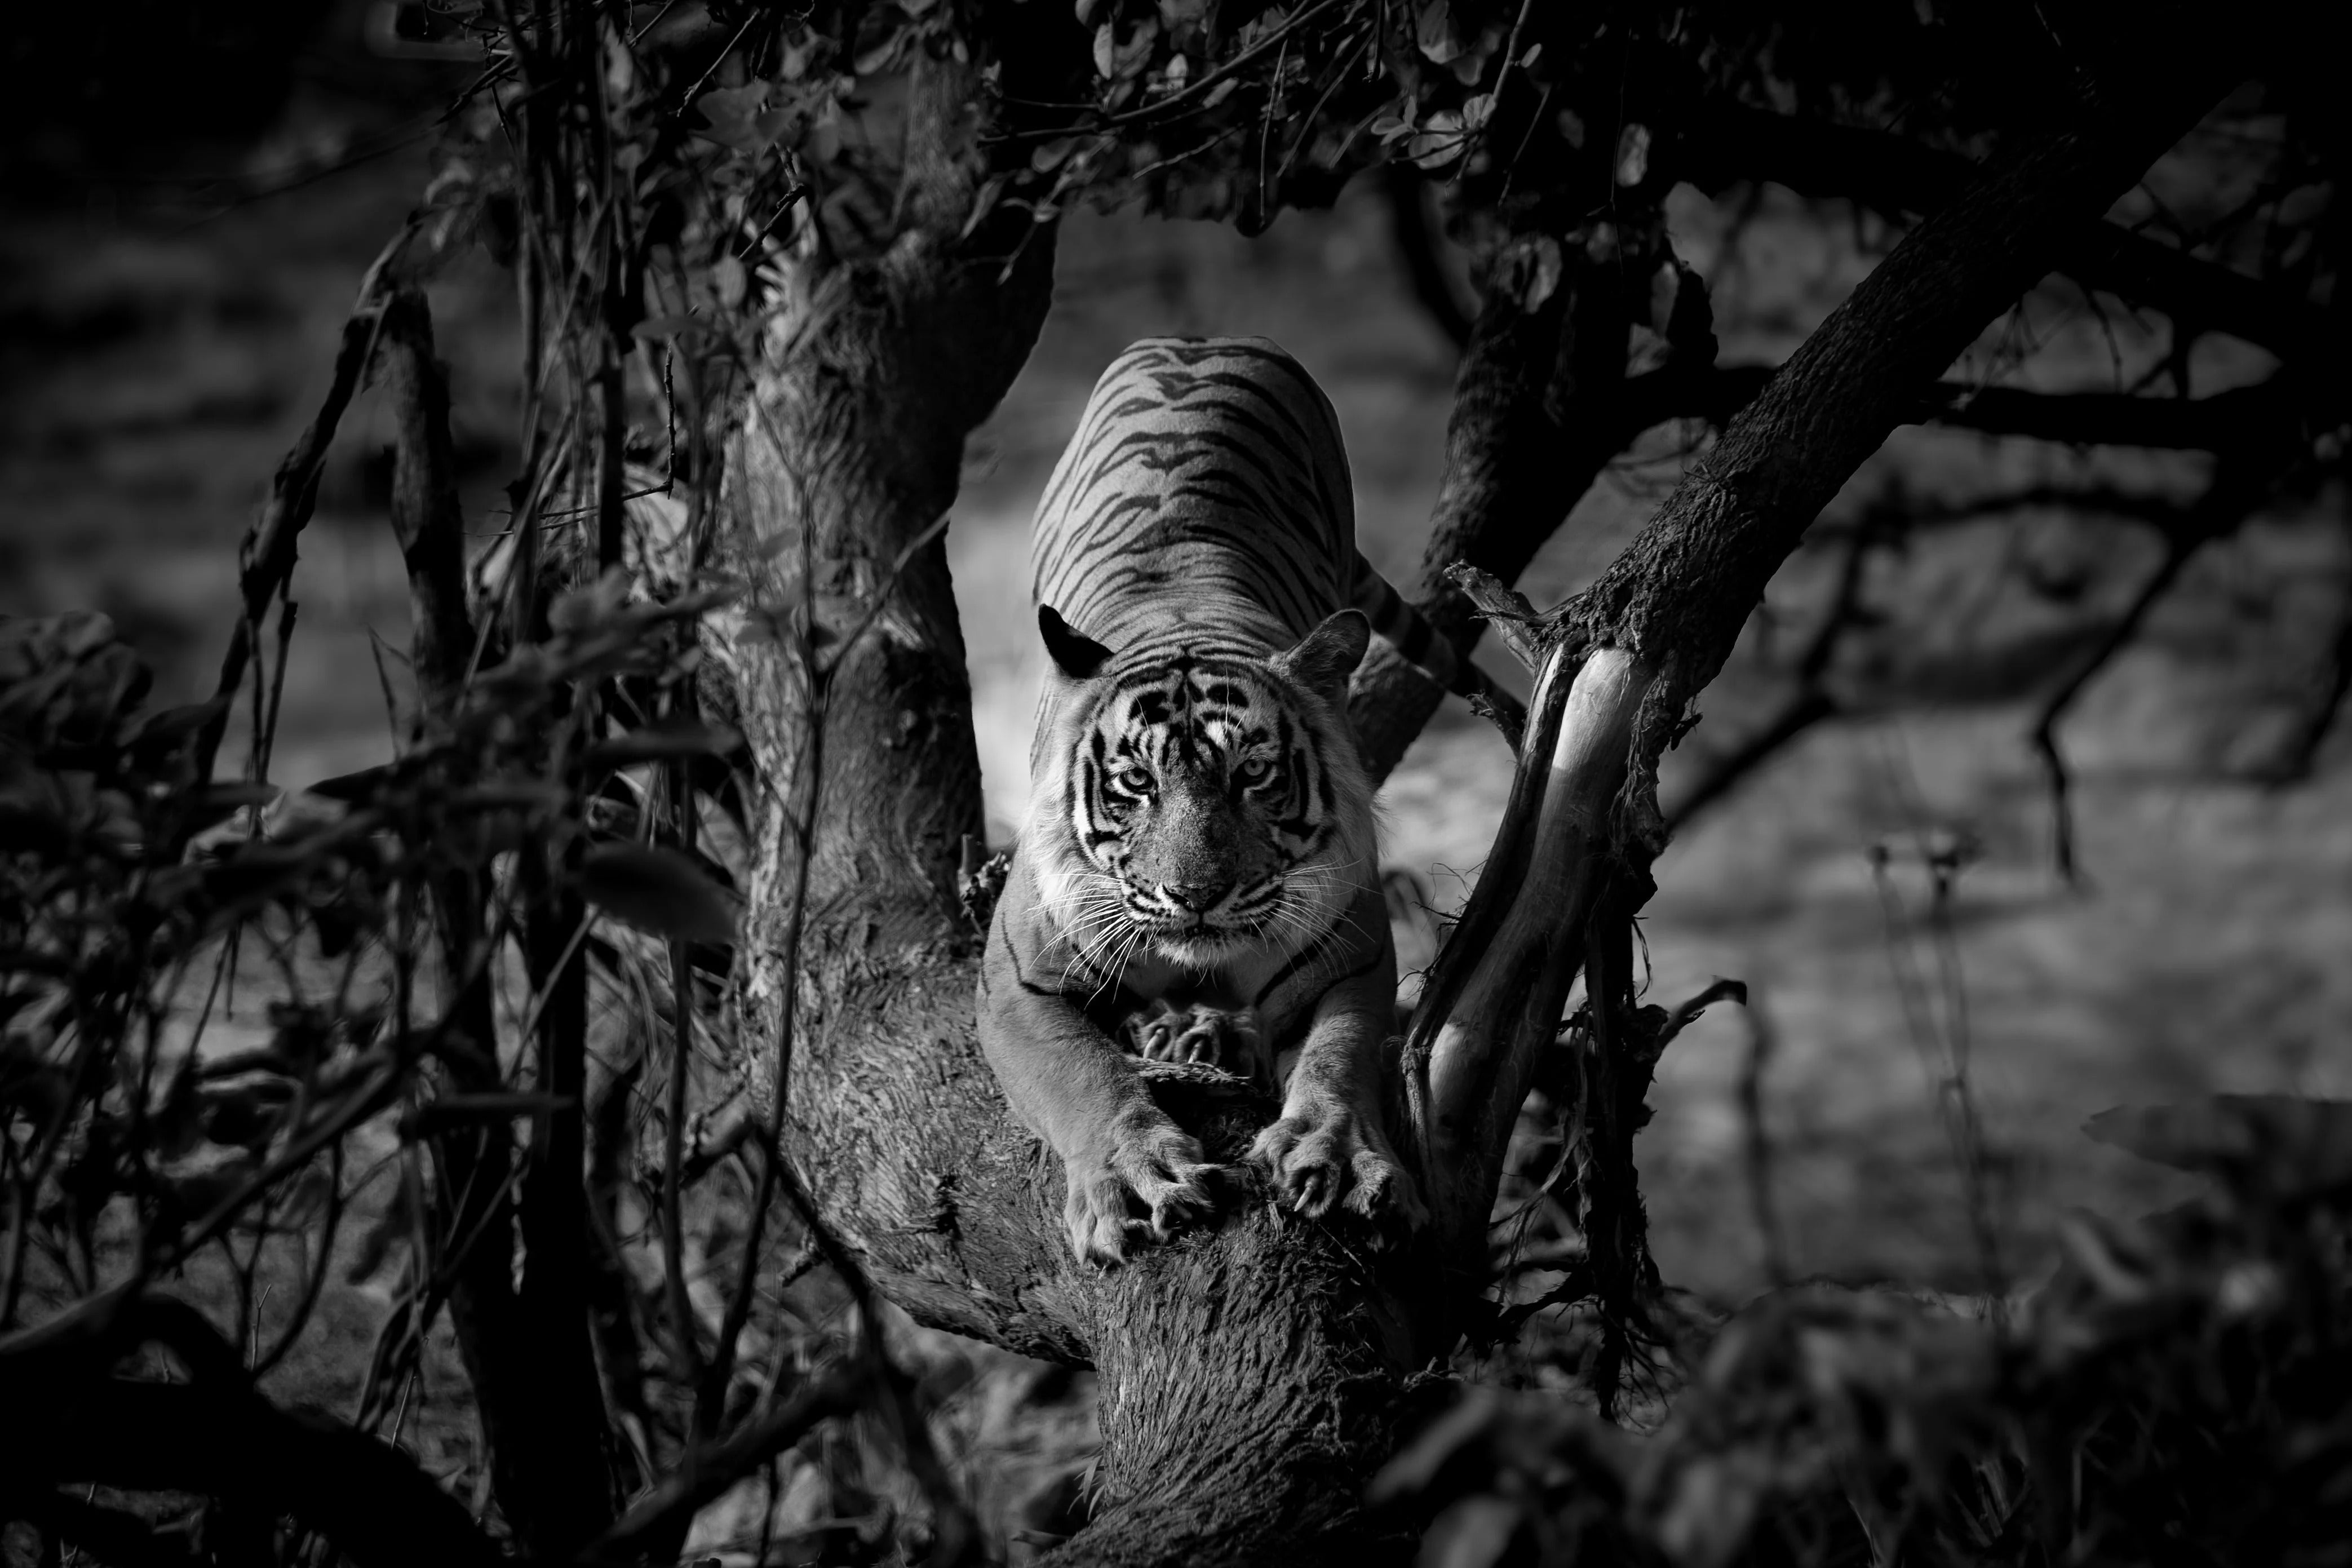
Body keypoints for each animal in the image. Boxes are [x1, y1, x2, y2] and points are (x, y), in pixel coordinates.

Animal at [975, 335, 1475, 1267]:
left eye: (1251, 775)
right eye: (1137, 783)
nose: (1195, 896)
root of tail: (1200, 340)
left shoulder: (1347, 956)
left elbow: (1338, 1056)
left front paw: (1335, 1156)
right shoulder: (1017, 984)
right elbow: (1082, 1073)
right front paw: (1136, 1179)